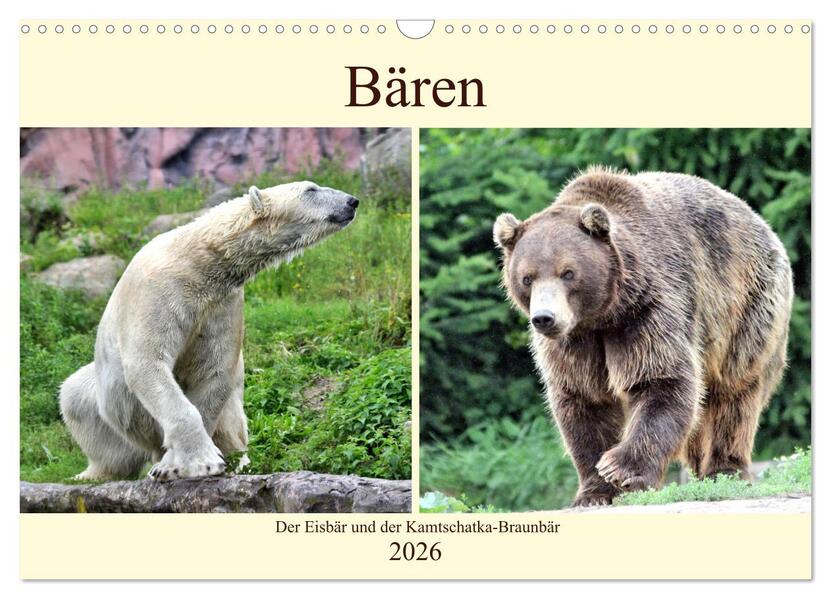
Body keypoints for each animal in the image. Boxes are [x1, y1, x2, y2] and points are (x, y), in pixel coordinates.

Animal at [60, 182, 359, 481]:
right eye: (311, 189)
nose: (352, 201)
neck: (200, 258)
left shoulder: (222, 304)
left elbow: (213, 370)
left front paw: (176, 464)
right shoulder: (158, 291)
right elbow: (147, 361)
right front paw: (199, 463)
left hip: (232, 416)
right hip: (108, 407)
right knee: (78, 398)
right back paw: (92, 474)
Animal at [493, 168, 793, 507]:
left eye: (567, 272)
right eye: (527, 278)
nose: (545, 318)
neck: (602, 316)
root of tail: (762, 223)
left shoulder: (647, 310)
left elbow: (660, 380)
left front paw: (619, 469)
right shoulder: (574, 343)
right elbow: (584, 400)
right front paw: (594, 491)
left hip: (746, 306)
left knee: (734, 392)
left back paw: (724, 470)